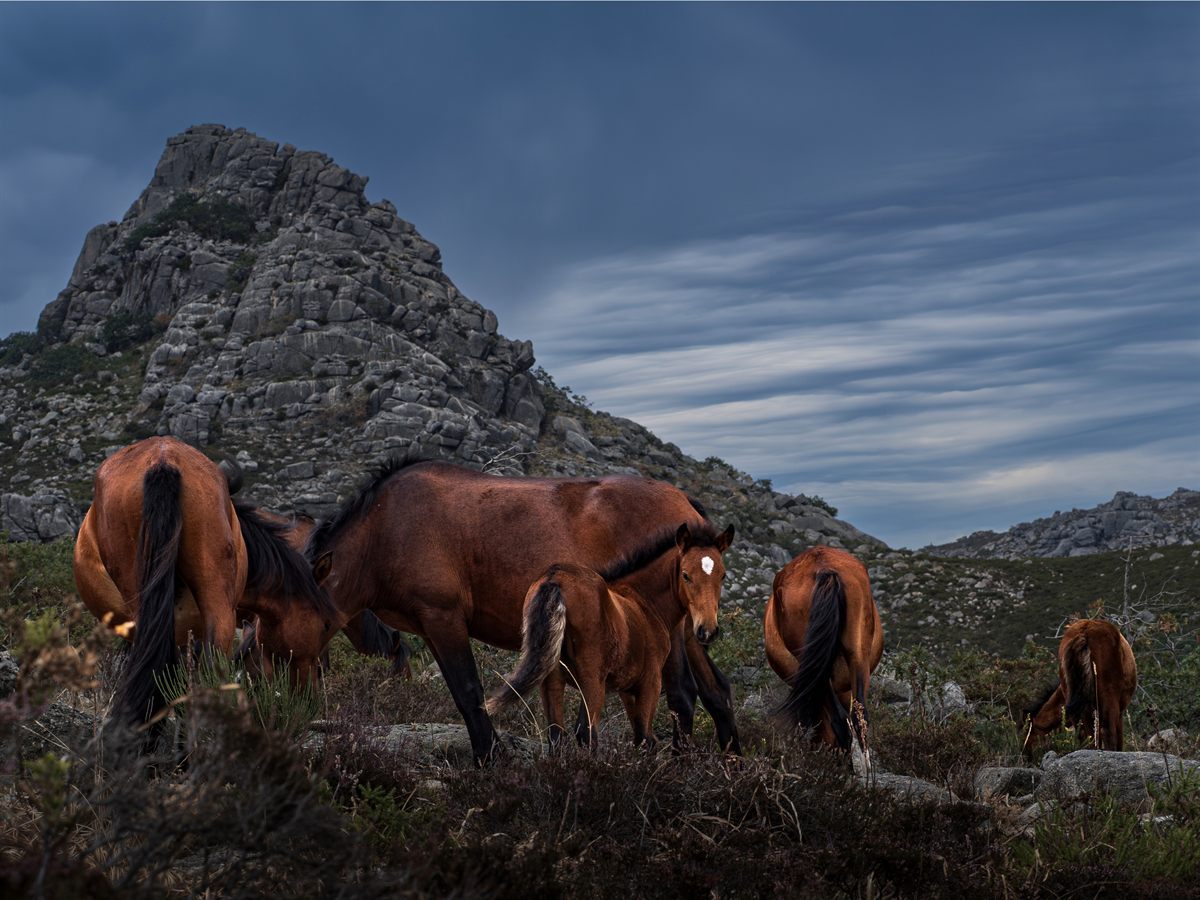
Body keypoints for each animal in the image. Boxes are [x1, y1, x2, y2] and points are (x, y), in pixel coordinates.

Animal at [485, 521, 733, 749]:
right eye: (685, 575)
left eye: (722, 575)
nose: (707, 630)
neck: (644, 602)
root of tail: (555, 579)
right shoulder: (650, 682)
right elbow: (644, 738)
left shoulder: (627, 690)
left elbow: (641, 736)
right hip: (592, 680)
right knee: (586, 733)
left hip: (551, 678)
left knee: (557, 735)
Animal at [1023, 619, 1137, 754]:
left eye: (1030, 734)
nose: (1024, 753)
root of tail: (1084, 632)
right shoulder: (1118, 712)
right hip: (1108, 698)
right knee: (1108, 734)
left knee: (1087, 737)